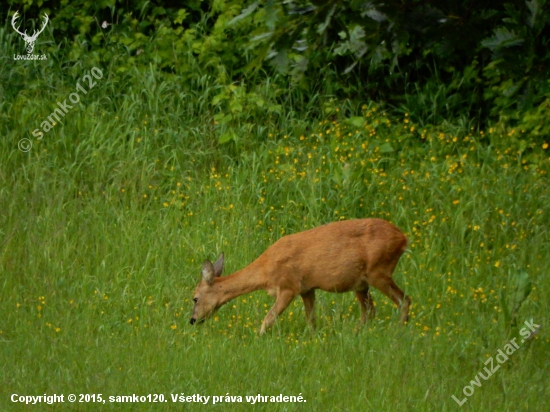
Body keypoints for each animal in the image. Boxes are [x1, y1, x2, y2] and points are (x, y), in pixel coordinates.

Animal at [190, 217, 410, 334]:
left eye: (195, 298)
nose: (192, 320)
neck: (265, 271)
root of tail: (403, 238)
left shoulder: (289, 286)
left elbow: (268, 318)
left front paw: (258, 338)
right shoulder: (307, 289)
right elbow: (311, 320)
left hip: (378, 270)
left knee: (404, 300)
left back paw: (399, 332)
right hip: (361, 283)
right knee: (370, 311)